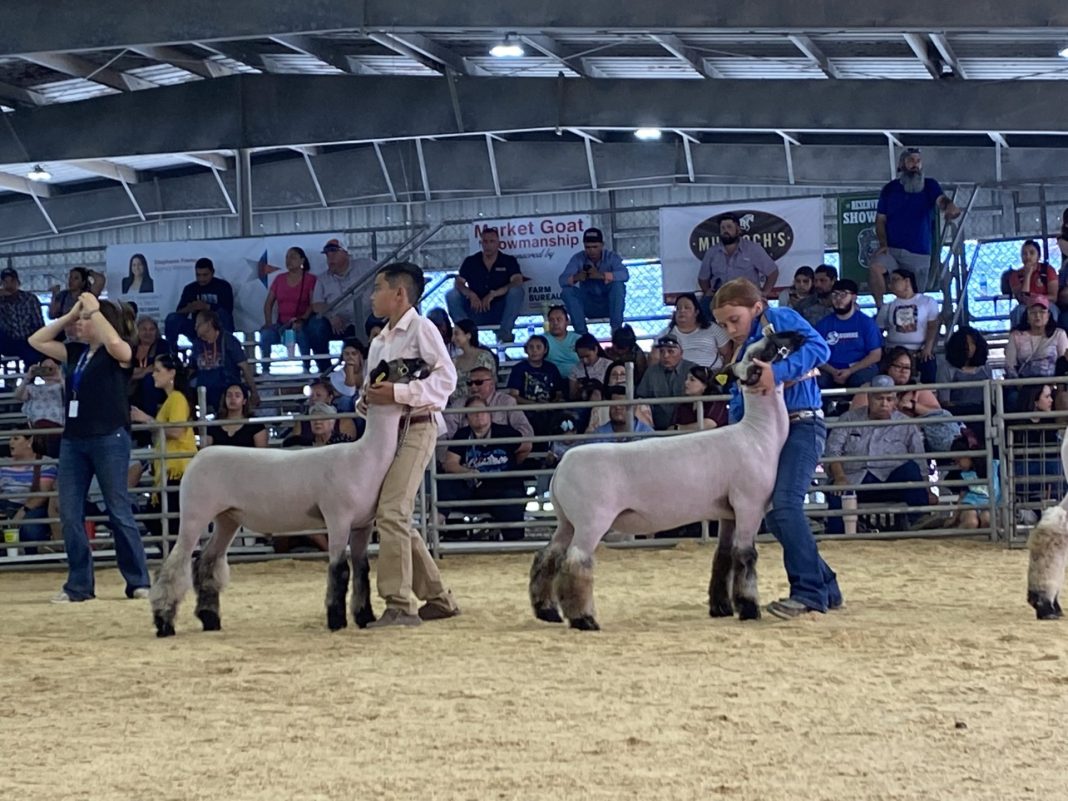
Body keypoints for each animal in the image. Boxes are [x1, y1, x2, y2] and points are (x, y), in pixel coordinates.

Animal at [150, 360, 425, 636]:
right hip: (195, 513)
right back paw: (164, 623)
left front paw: (365, 617)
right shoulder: (338, 518)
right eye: (402, 368)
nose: (423, 364)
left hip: (227, 517)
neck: (365, 457)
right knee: (175, 564)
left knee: (206, 561)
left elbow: (362, 570)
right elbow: (340, 570)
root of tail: (199, 456)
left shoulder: (363, 524)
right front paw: (336, 620)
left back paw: (210, 620)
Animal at [527, 333, 803, 632]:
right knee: (576, 563)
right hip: (591, 520)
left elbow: (723, 556)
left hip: (568, 521)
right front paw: (749, 608)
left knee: (548, 556)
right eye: (769, 348)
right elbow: (745, 556)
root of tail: (561, 467)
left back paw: (547, 611)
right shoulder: (749, 505)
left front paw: (721, 608)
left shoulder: (728, 512)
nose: (800, 336)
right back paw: (583, 619)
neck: (758, 434)